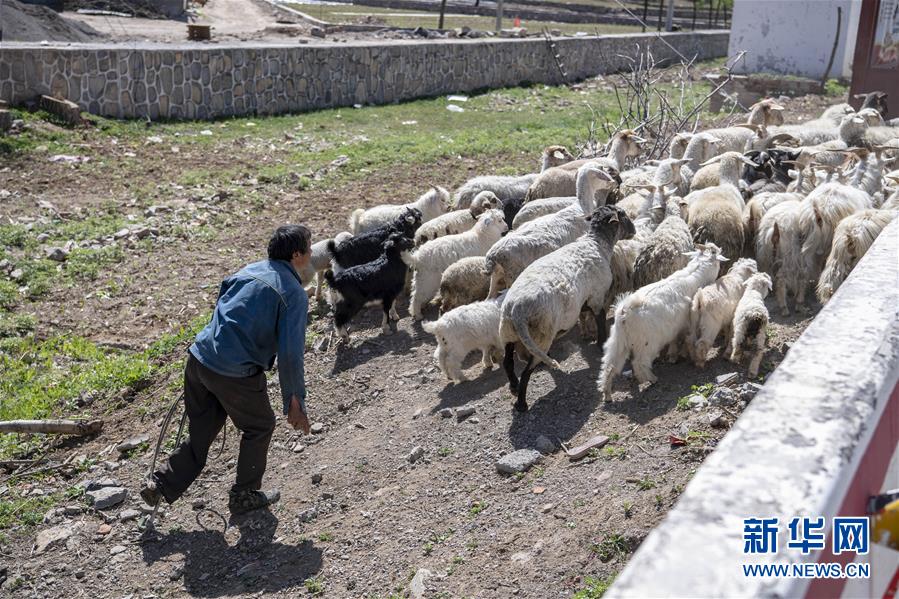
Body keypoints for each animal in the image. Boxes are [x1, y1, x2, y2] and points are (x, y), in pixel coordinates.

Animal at [496, 207, 636, 412]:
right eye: (623, 214)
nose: (634, 230)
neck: (596, 244)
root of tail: (516, 311)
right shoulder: (597, 297)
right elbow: (600, 321)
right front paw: (601, 343)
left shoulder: (585, 301)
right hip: (542, 336)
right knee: (527, 372)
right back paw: (522, 403)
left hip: (507, 333)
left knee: (507, 362)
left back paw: (513, 387)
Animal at [596, 241, 732, 400]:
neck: (696, 274)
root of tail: (625, 311)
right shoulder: (690, 324)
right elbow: (689, 340)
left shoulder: (675, 327)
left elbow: (674, 340)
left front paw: (673, 356)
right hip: (647, 342)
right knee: (639, 363)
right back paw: (651, 379)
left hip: (618, 340)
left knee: (609, 365)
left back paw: (607, 393)